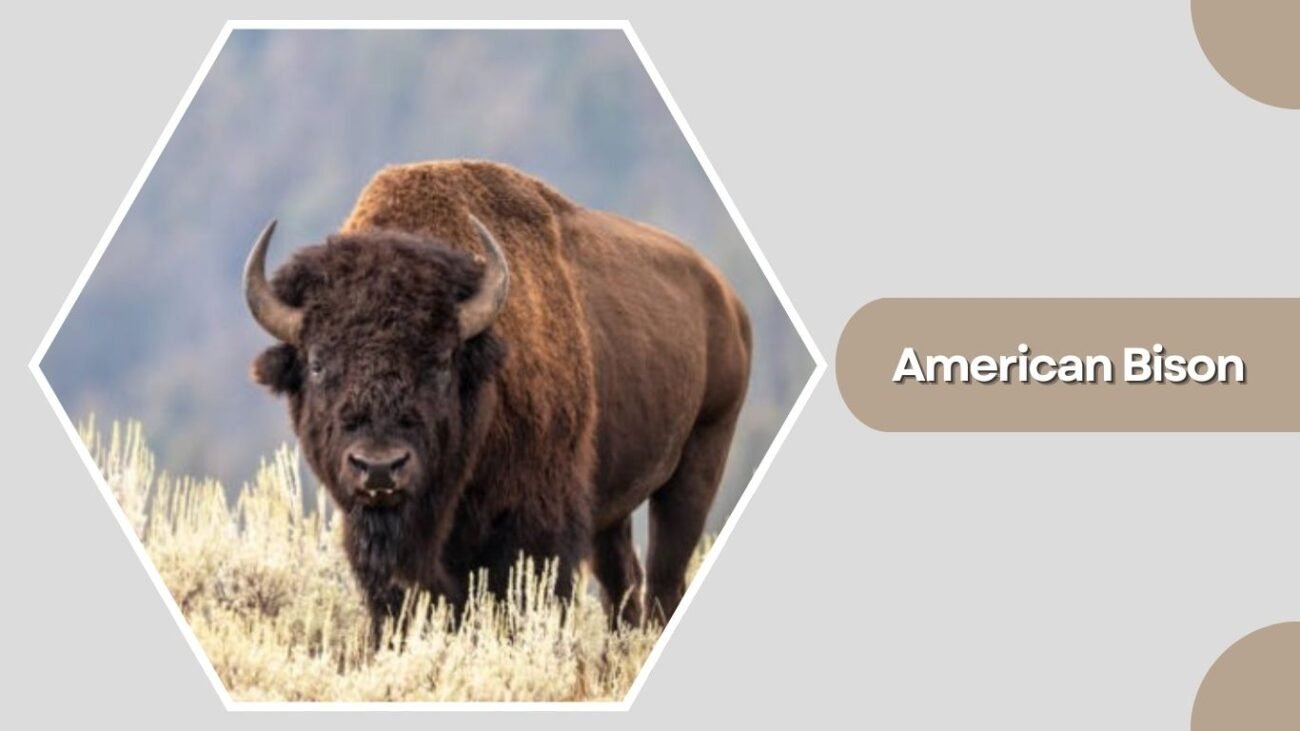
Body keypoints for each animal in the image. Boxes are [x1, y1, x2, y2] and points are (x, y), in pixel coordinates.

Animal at [245, 160, 751, 634]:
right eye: (316, 363)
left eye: (441, 362)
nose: (379, 467)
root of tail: (726, 300)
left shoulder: (537, 532)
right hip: (615, 504)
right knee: (621, 581)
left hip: (700, 460)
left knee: (665, 578)